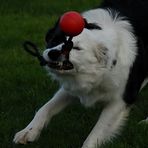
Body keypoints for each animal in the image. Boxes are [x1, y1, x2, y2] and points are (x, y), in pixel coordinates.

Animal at [13, 0, 148, 147]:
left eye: (76, 48)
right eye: (54, 39)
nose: (52, 53)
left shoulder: (122, 98)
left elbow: (98, 130)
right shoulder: (72, 86)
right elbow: (46, 107)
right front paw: (28, 131)